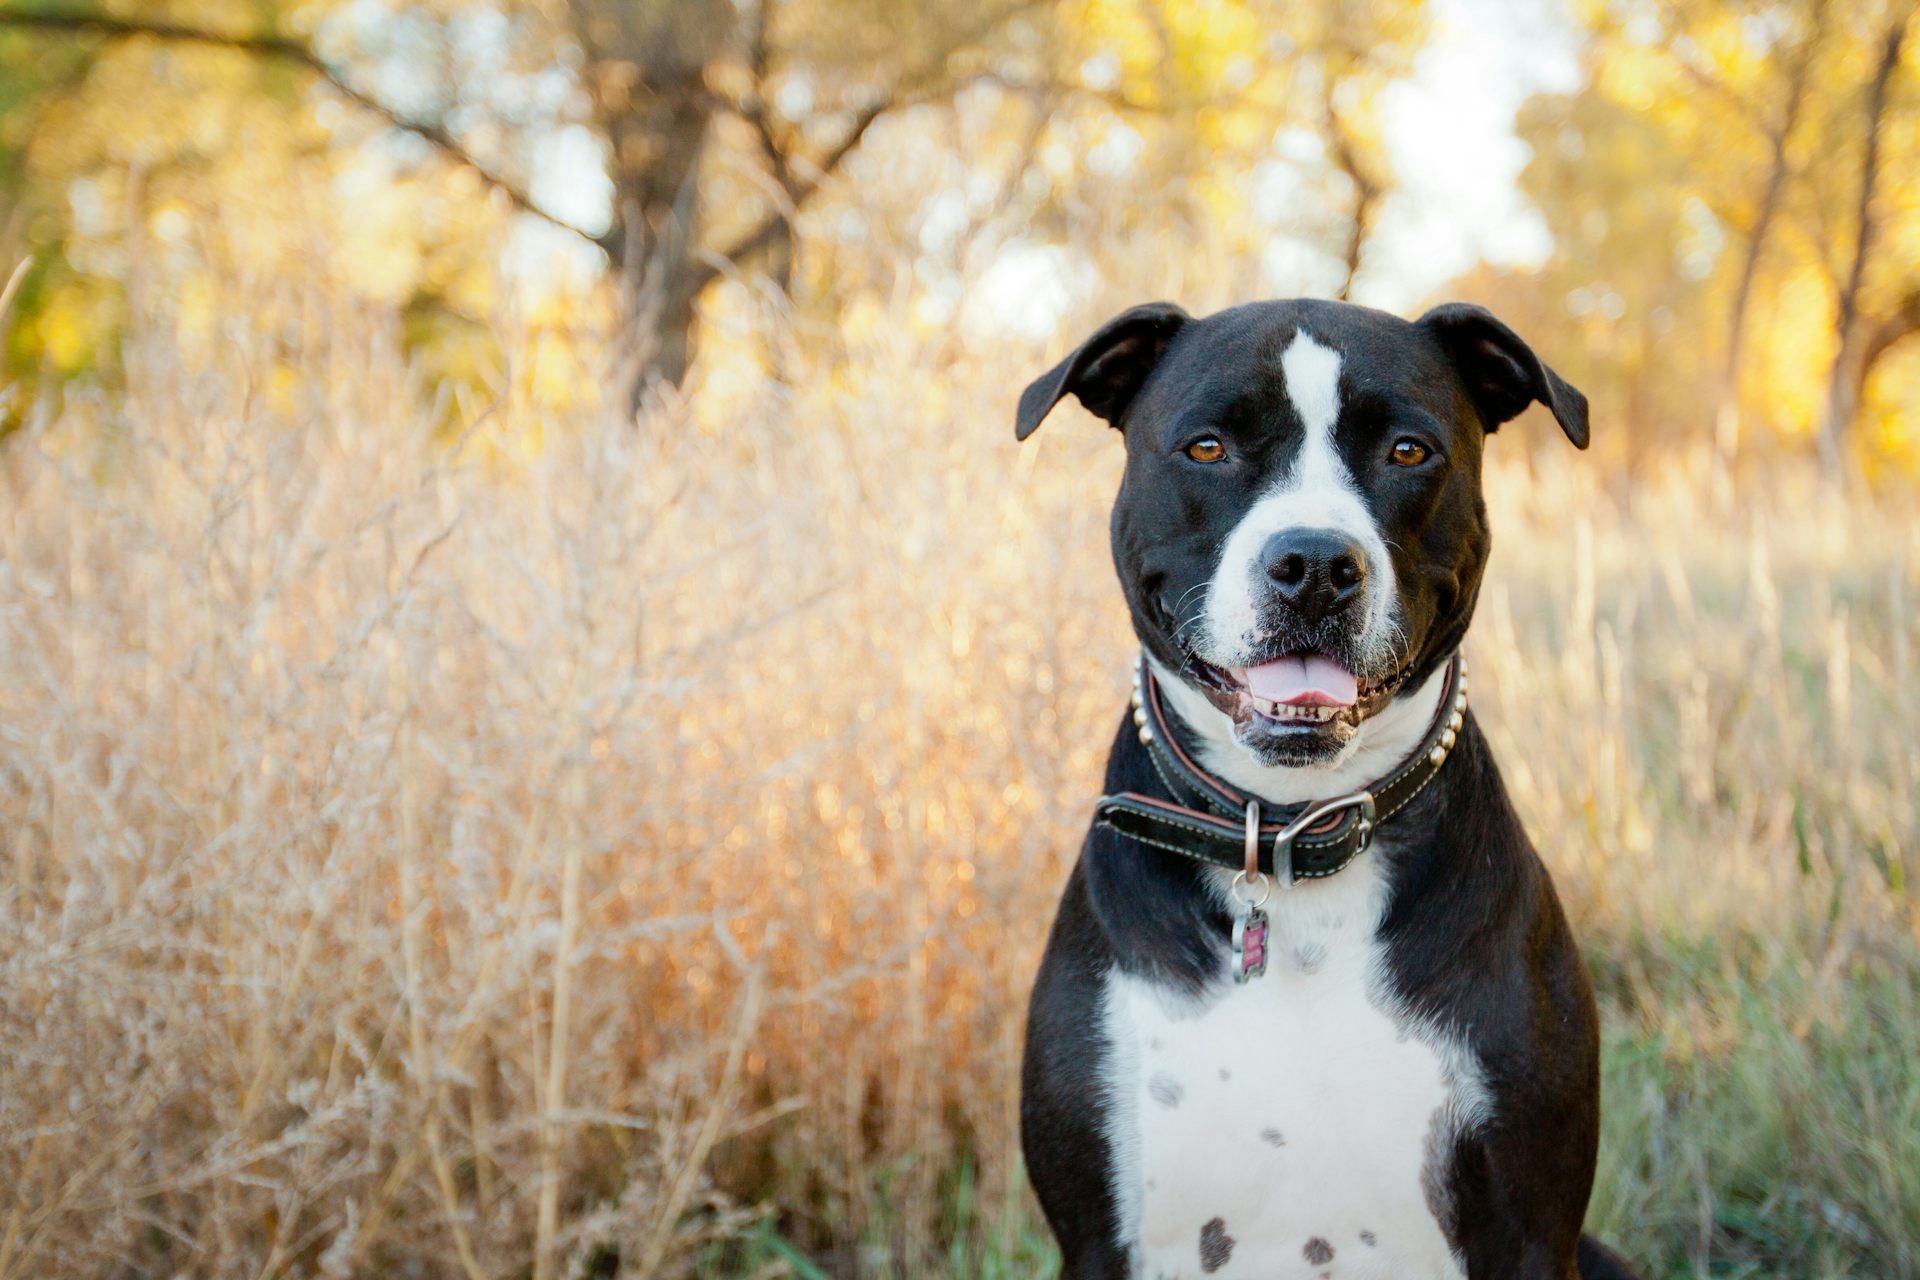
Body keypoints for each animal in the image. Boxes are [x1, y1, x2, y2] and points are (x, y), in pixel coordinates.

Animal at [1021, 301, 1635, 1280]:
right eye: (1206, 447)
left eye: (1409, 451)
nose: (1312, 562)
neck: (1288, 834)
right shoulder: (1100, 1237)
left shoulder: (1534, 1229)